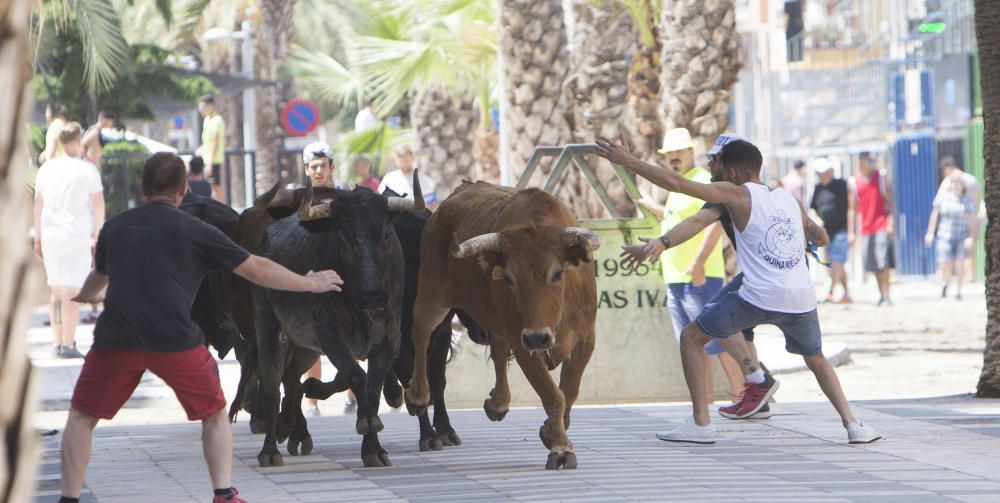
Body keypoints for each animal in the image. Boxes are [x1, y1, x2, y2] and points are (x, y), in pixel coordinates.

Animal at [402, 182, 596, 472]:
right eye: (509, 278)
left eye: (557, 273)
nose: (538, 338)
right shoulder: (523, 343)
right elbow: (553, 395)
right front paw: (561, 448)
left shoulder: (585, 340)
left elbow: (569, 392)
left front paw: (550, 433)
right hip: (431, 294)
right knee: (422, 334)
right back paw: (417, 395)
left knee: (498, 352)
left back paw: (498, 403)